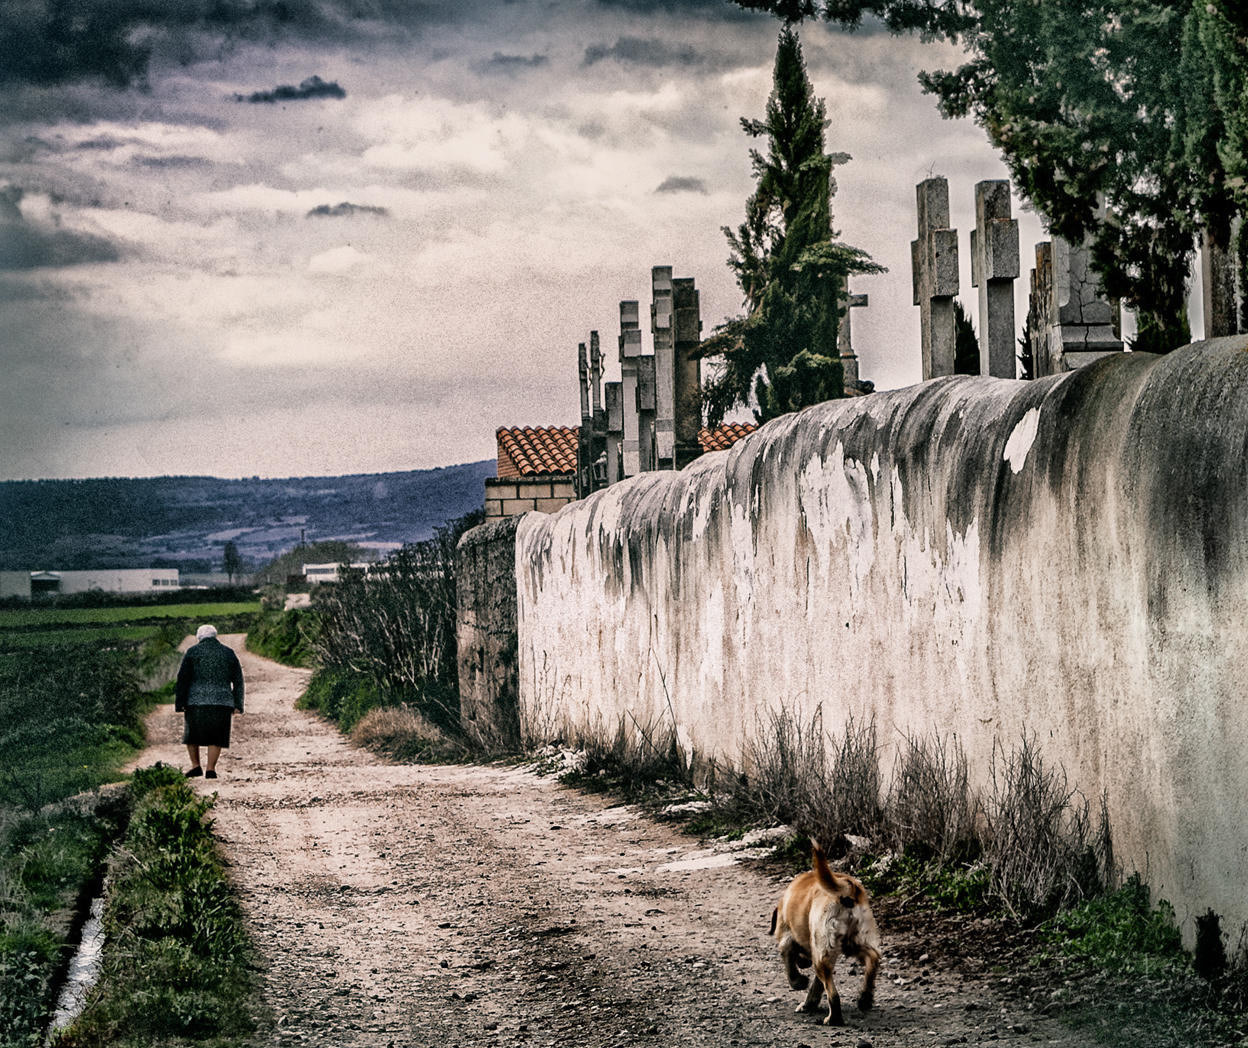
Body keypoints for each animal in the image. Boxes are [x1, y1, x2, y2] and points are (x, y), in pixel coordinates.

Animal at [763, 843, 883, 1023]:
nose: (803, 963)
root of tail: (846, 887)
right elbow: (817, 985)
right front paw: (809, 1003)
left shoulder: (787, 942)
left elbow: (791, 970)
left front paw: (799, 982)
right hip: (854, 943)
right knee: (873, 959)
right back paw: (865, 998)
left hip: (822, 955)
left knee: (834, 995)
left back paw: (834, 1019)